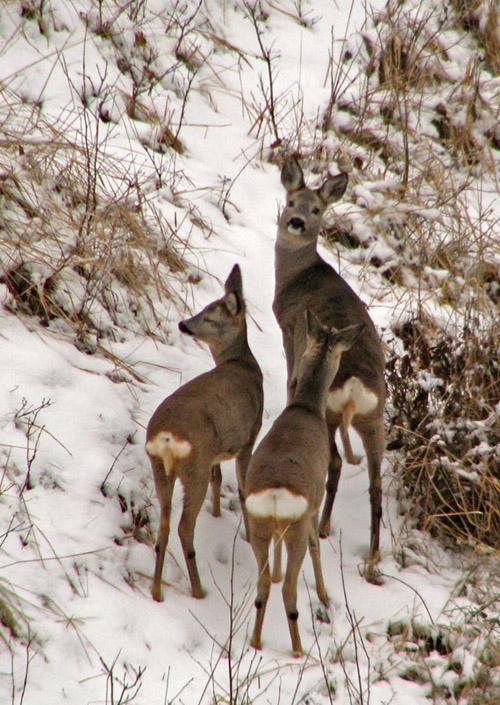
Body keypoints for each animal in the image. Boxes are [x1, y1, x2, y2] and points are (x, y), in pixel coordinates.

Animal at [145, 264, 264, 600]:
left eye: (210, 316)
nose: (184, 324)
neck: (244, 365)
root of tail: (167, 437)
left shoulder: (217, 451)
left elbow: (218, 478)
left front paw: (218, 514)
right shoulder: (249, 436)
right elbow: (242, 487)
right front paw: (247, 536)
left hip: (161, 468)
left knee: (164, 522)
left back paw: (157, 590)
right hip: (193, 465)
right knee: (184, 526)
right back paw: (199, 590)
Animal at [245, 310, 364, 656]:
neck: (306, 407)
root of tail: (274, 494)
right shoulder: (314, 504)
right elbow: (316, 545)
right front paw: (324, 594)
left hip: (258, 523)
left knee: (263, 584)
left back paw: (256, 642)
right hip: (296, 524)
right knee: (289, 587)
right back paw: (298, 650)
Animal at [274, 155, 386, 576]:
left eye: (317, 210)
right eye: (292, 201)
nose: (295, 223)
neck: (296, 275)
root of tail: (353, 383)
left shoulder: (289, 330)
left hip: (331, 411)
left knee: (335, 463)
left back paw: (322, 528)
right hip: (375, 419)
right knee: (375, 484)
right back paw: (372, 558)